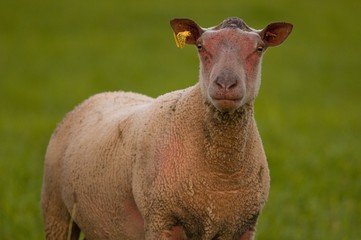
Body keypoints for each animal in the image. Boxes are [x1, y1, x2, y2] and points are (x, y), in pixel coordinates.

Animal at [40, 17, 292, 240]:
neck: (221, 176)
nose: (225, 84)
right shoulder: (161, 219)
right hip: (56, 211)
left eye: (259, 48)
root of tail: (106, 93)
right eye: (200, 46)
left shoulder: (243, 227)